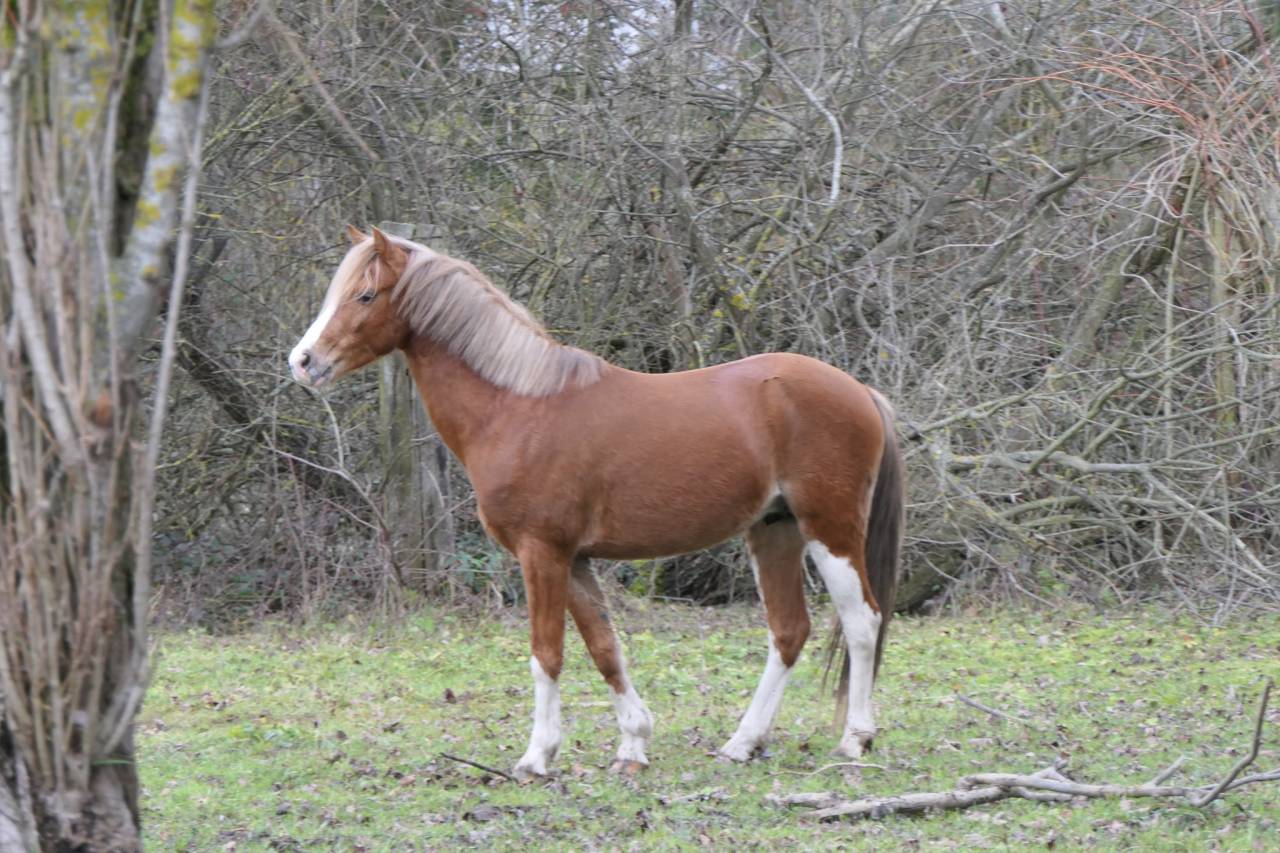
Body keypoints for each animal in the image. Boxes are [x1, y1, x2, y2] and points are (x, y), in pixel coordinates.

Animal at [289, 226, 904, 779]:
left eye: (365, 295)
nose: (303, 361)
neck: (518, 407)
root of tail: (861, 392)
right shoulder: (576, 559)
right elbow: (605, 647)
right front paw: (633, 745)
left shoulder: (542, 553)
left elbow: (547, 653)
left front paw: (536, 757)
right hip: (774, 530)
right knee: (788, 631)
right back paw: (741, 744)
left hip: (829, 530)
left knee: (862, 621)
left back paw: (854, 740)